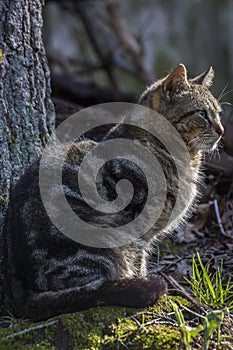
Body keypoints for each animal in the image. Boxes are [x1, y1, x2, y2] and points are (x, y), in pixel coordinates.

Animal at [2, 64, 224, 322]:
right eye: (202, 113)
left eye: (218, 113)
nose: (222, 130)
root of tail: (18, 295)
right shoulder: (138, 225)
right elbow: (139, 261)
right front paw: (142, 280)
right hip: (100, 236)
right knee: (91, 287)